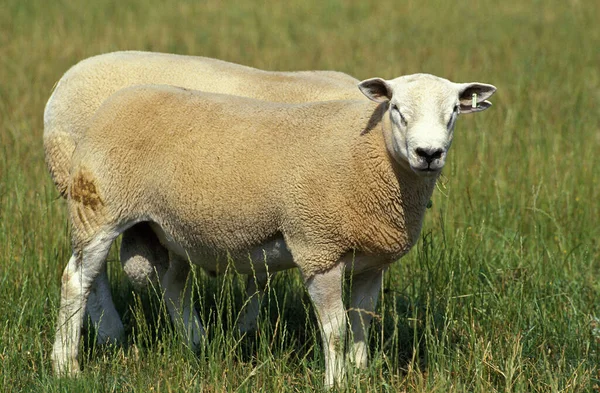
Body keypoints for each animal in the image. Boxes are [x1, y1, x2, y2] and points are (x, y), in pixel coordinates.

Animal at [44, 49, 364, 344]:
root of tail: (62, 85)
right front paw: (245, 328)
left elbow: (260, 274)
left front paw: (244, 327)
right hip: (96, 196)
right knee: (93, 274)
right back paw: (111, 332)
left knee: (169, 278)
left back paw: (193, 338)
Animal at [51, 74, 494, 386]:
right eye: (397, 108)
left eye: (454, 111)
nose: (428, 153)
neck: (369, 157)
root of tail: (115, 101)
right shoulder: (318, 246)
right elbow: (335, 329)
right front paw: (336, 381)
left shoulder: (372, 261)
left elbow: (363, 321)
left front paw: (360, 372)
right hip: (100, 208)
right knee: (77, 280)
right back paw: (65, 365)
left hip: (167, 227)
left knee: (173, 286)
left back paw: (197, 345)